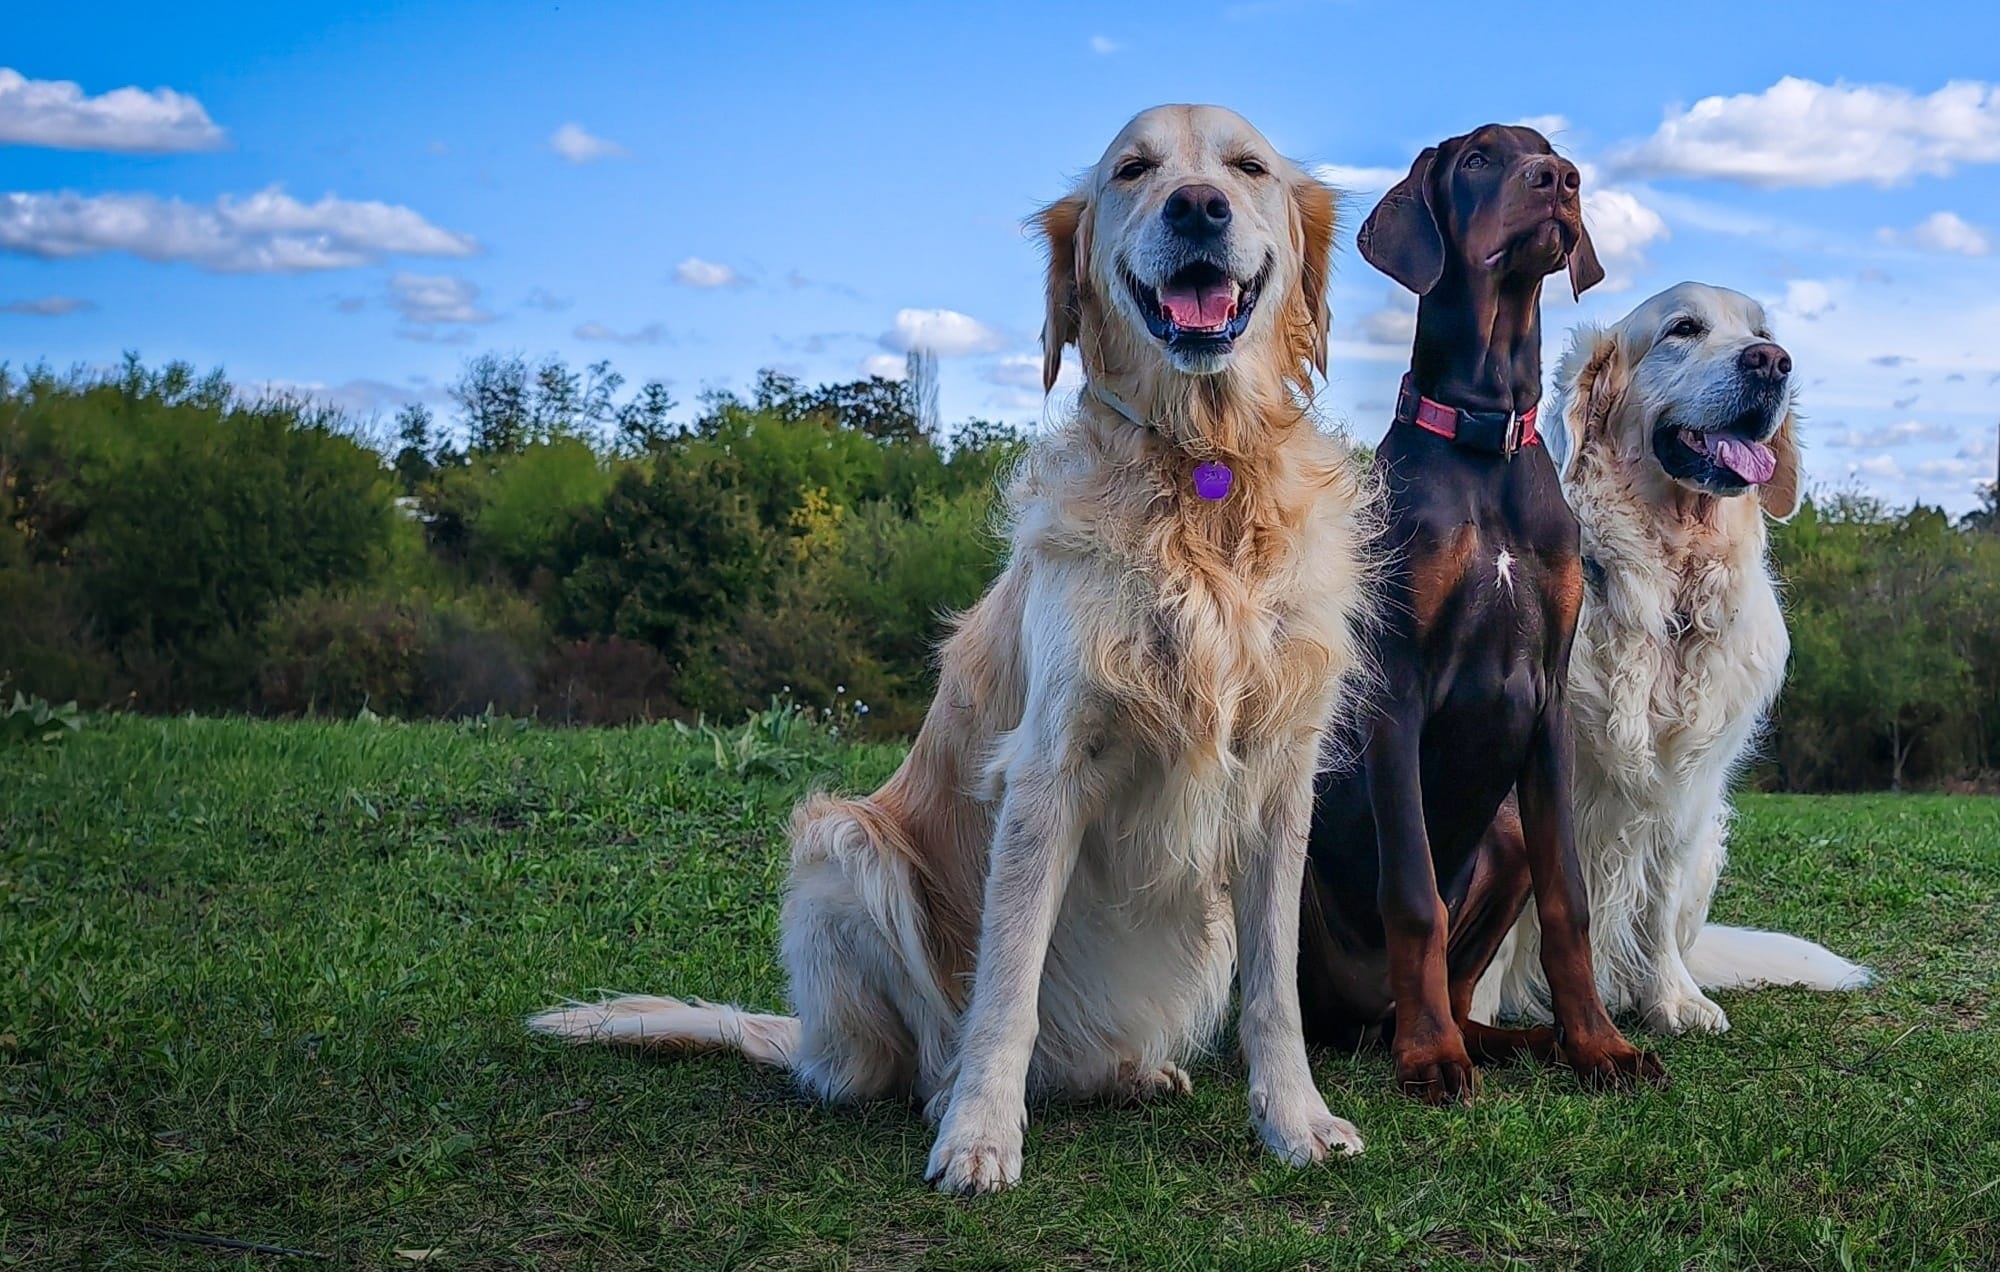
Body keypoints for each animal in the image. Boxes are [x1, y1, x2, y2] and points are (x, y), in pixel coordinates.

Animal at [528, 107, 1376, 1192]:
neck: (1203, 465)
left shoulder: (1277, 778)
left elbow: (1277, 990)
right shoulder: (1047, 767)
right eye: (1132, 171)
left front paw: (1295, 1121)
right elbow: (1004, 985)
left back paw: (1130, 1074)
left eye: (1247, 166)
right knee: (913, 1050)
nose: (1197, 206)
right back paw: (942, 1094)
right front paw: (978, 1134)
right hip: (839, 848)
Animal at [1288, 129, 1664, 1104]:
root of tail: (1369, 1014)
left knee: (1465, 988)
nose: (1560, 181)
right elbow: (1414, 895)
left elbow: (1571, 899)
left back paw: (1510, 1039)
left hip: (1505, 839)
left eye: (1554, 154)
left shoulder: (1550, 700)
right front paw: (1431, 1061)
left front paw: (1599, 1044)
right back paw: (1420, 1040)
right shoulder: (1397, 690)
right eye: (1478, 160)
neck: (1485, 434)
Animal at [1472, 280, 1872, 1032]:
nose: (1773, 362)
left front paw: (1673, 999)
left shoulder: (1685, 789)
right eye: (1683, 329)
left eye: (1761, 333)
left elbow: (1654, 900)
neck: (1667, 585)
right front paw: (1465, 1016)